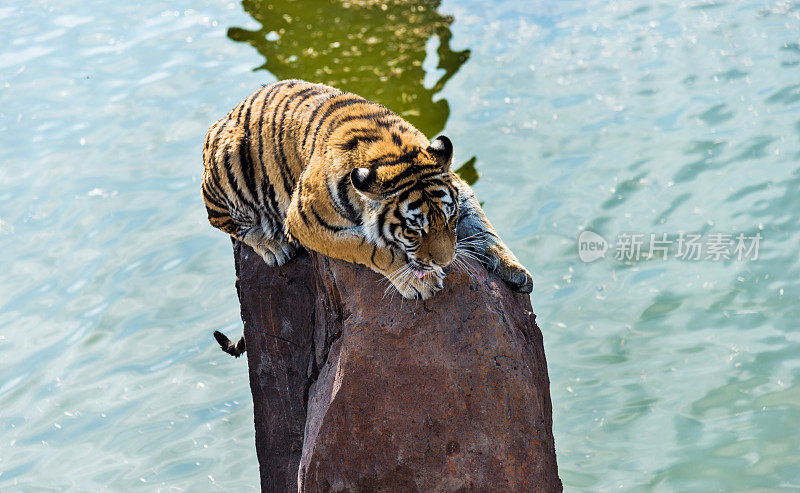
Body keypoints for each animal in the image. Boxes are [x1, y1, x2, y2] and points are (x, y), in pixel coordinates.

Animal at [203, 80, 536, 308]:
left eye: (449, 219)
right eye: (414, 231)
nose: (445, 263)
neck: (394, 151)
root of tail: (234, 107)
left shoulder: (458, 190)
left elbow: (482, 227)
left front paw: (514, 269)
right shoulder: (304, 221)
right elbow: (372, 249)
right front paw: (418, 282)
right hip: (227, 159)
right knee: (226, 224)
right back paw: (273, 246)